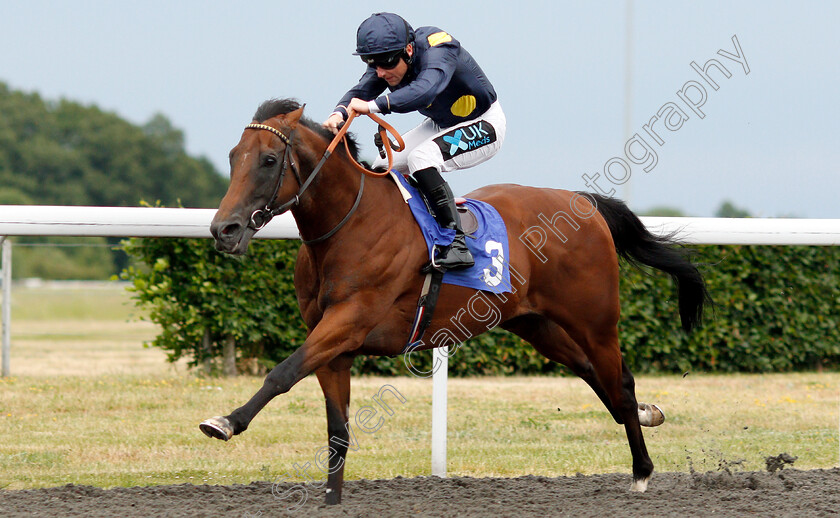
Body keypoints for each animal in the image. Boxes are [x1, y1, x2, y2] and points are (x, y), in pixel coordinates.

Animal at [202, 99, 708, 506]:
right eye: (232, 157)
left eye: (269, 159)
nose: (223, 230)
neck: (350, 224)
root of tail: (583, 202)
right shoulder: (332, 343)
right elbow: (337, 427)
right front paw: (331, 499)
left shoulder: (349, 321)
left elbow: (282, 372)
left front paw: (224, 421)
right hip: (537, 325)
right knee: (593, 374)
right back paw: (646, 414)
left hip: (595, 321)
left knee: (618, 380)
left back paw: (642, 471)